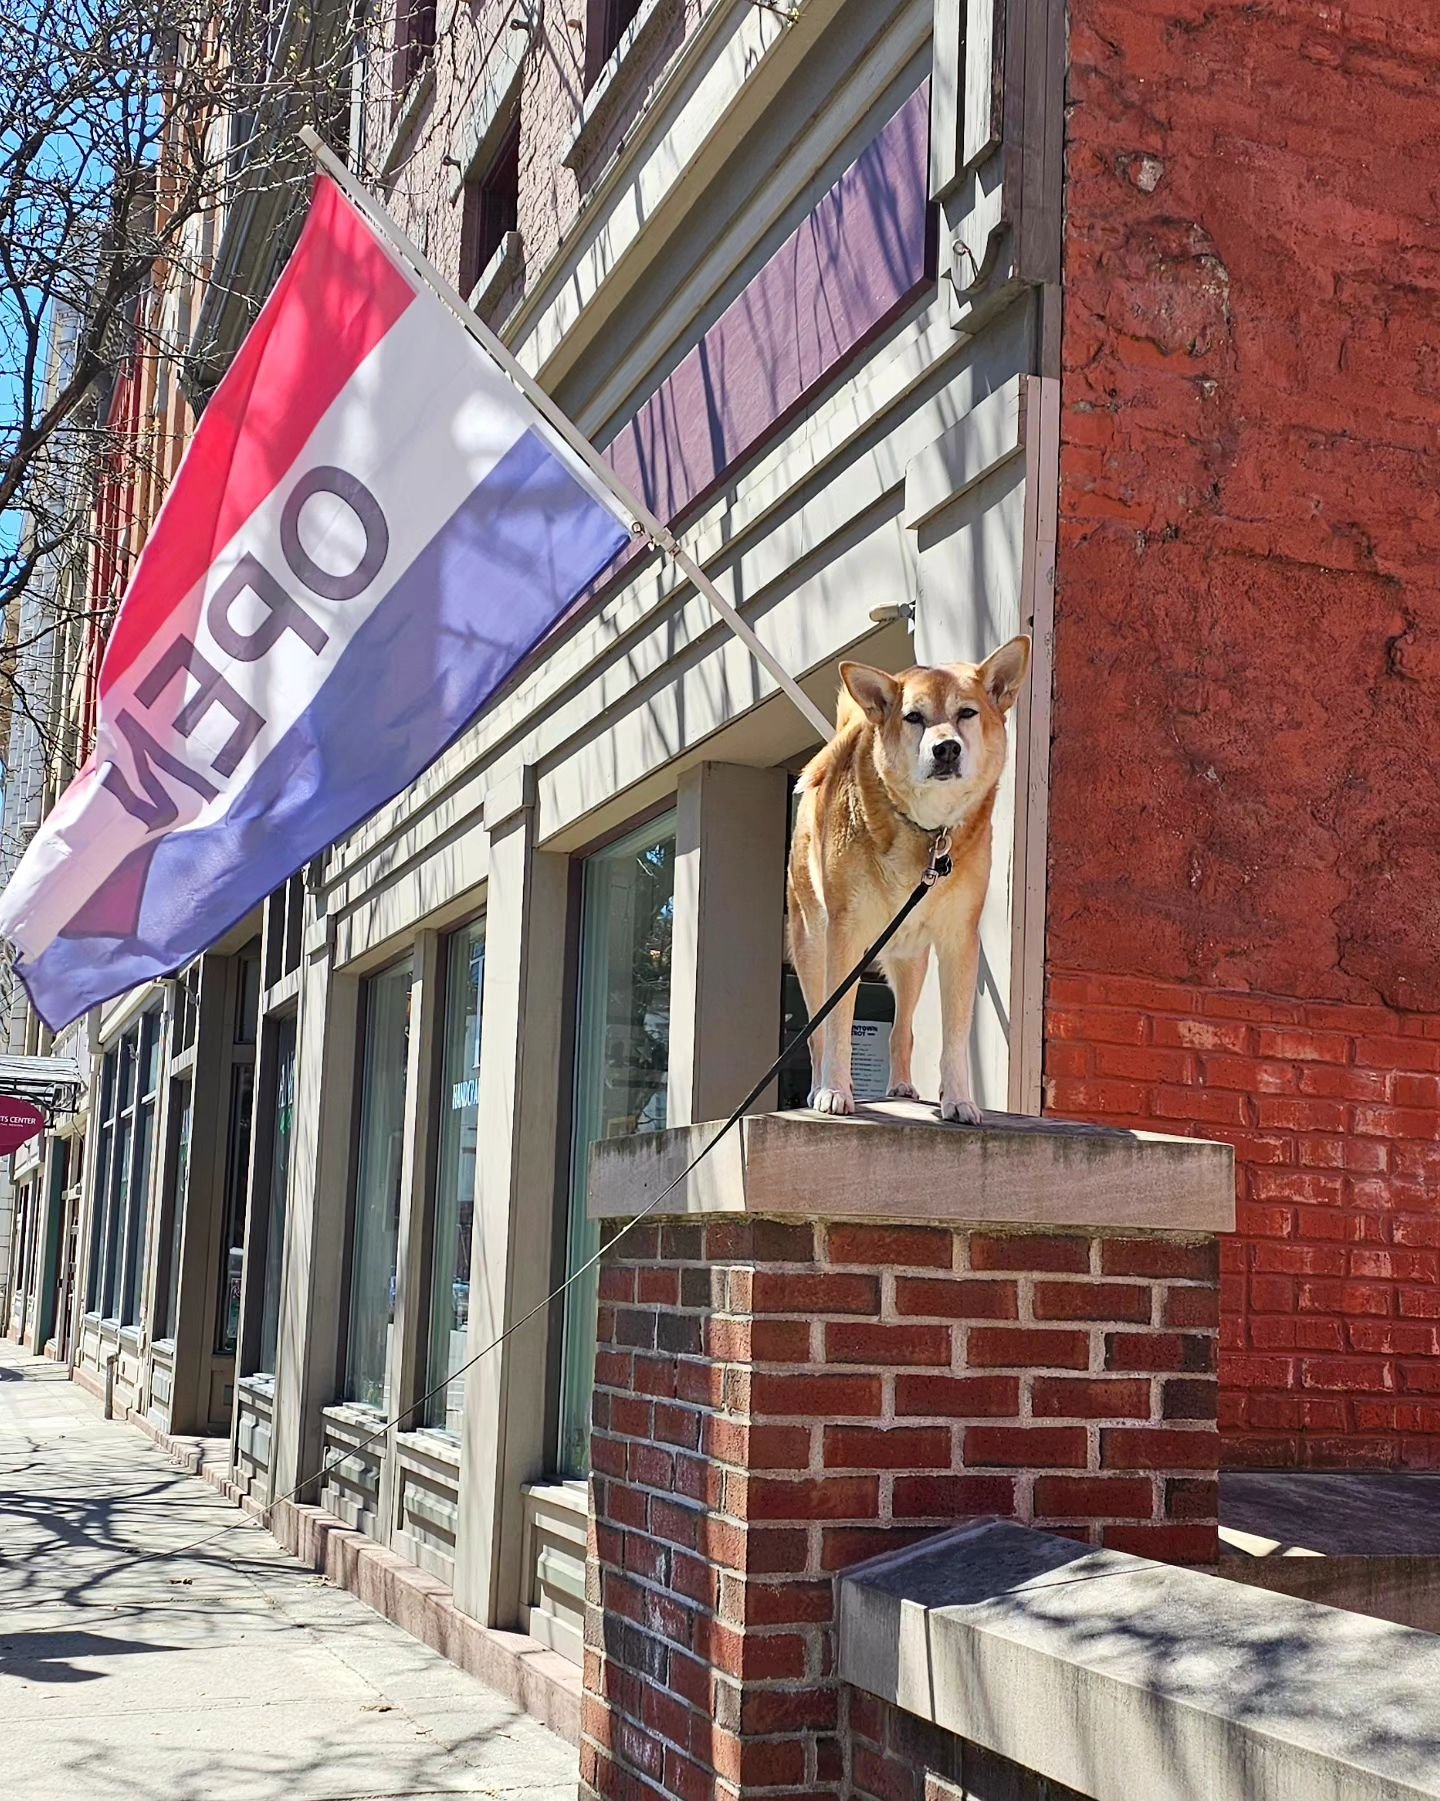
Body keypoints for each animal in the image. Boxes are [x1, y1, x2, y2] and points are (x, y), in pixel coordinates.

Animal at [788, 641, 1036, 1123]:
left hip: (910, 961)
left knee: (902, 1029)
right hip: (811, 945)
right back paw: (819, 1086)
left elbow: (954, 1035)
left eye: (966, 712)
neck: (928, 829)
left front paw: (958, 1099)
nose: (946, 749)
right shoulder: (844, 935)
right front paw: (834, 1090)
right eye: (914, 717)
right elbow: (839, 1024)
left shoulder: (959, 939)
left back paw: (901, 1086)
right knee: (817, 1032)